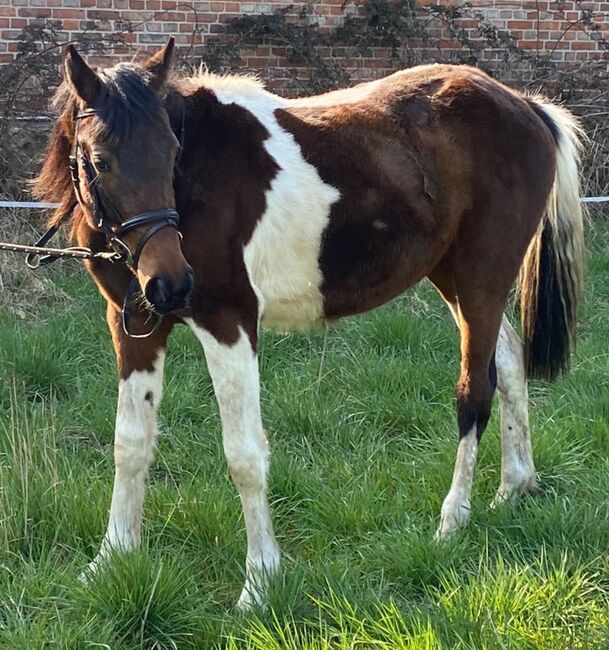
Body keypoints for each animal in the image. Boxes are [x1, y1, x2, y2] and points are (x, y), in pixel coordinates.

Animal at [33, 40, 584, 604]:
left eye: (172, 149)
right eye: (101, 161)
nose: (173, 283)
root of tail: (526, 106)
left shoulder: (229, 323)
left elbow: (244, 454)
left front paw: (258, 582)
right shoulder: (135, 326)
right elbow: (130, 442)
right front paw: (110, 559)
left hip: (481, 279)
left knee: (475, 392)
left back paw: (453, 522)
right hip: (455, 279)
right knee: (510, 361)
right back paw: (514, 488)